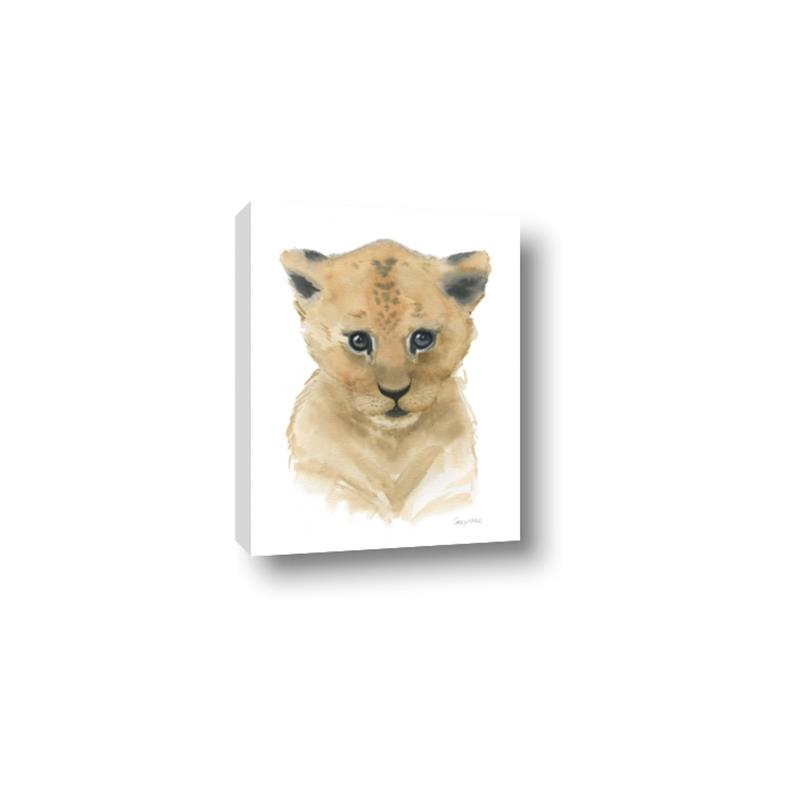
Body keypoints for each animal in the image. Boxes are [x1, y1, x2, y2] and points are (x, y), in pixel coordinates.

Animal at [280, 239, 490, 522]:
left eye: (422, 338)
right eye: (359, 340)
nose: (395, 392)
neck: (392, 445)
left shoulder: (448, 494)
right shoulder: (330, 485)